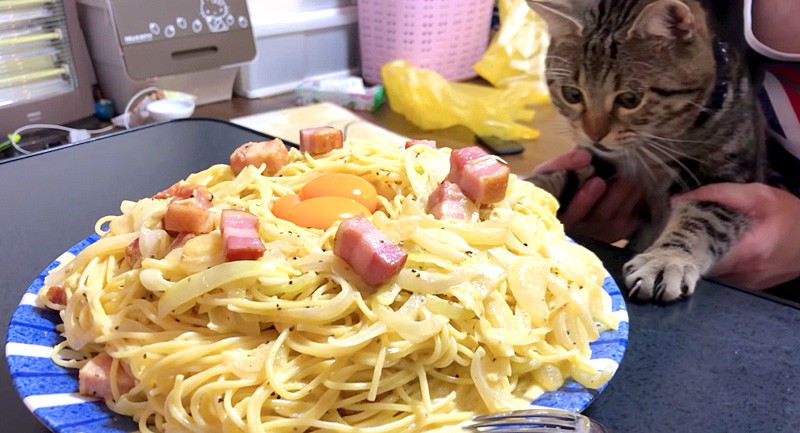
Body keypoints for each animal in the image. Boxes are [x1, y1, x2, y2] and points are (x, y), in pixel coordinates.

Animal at [528, 0, 764, 302]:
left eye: (630, 99)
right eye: (572, 94)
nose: (594, 134)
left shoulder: (727, 180)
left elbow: (702, 221)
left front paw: (667, 259)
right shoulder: (603, 160)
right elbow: (558, 177)